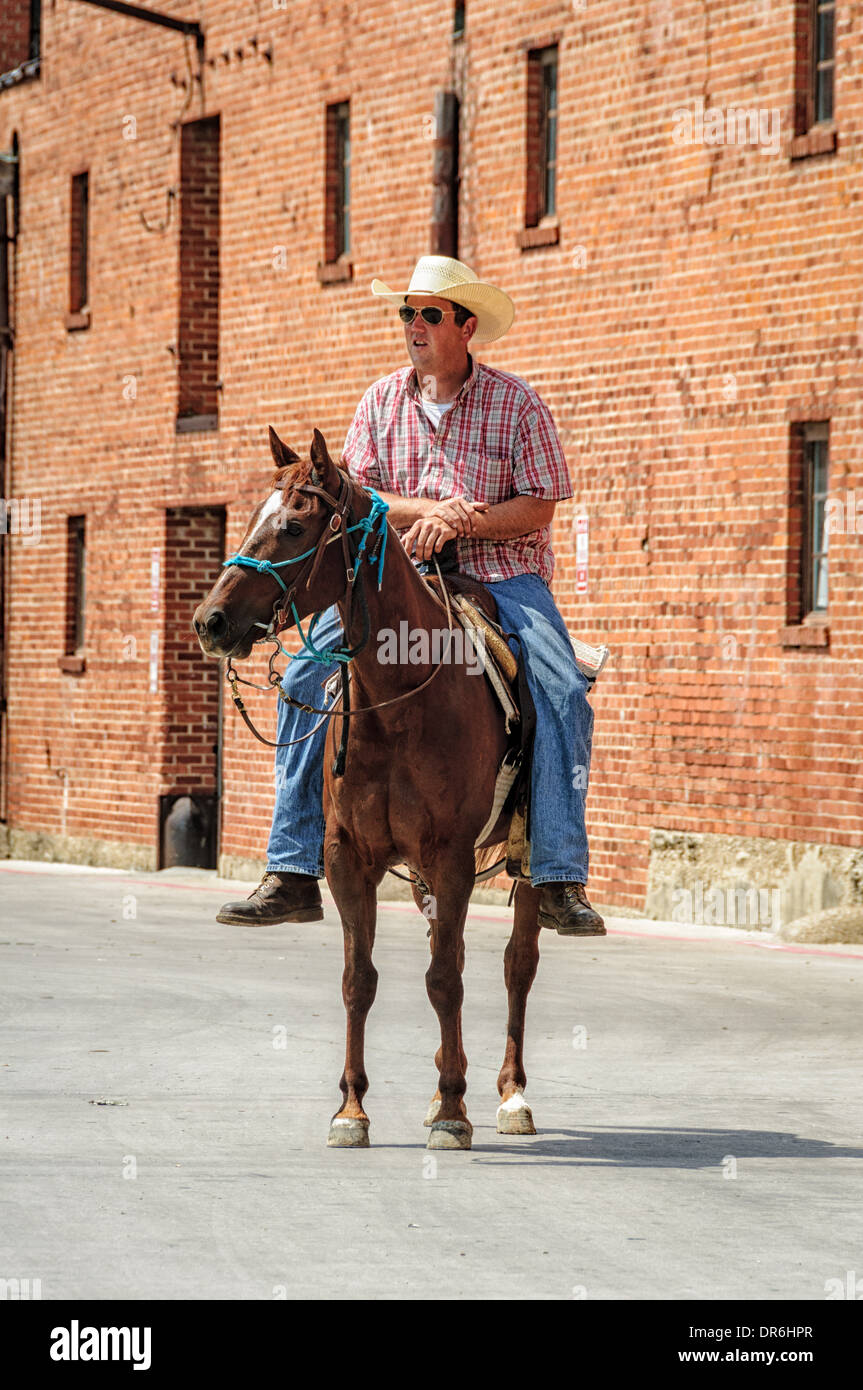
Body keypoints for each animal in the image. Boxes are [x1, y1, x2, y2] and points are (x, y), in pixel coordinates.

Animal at [193, 425, 539, 1150]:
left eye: (294, 526)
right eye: (254, 516)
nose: (209, 621)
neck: (399, 701)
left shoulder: (449, 855)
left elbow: (445, 980)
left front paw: (454, 1111)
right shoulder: (348, 857)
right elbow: (360, 980)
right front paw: (351, 1109)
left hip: (527, 859)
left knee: (516, 965)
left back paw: (509, 1095)